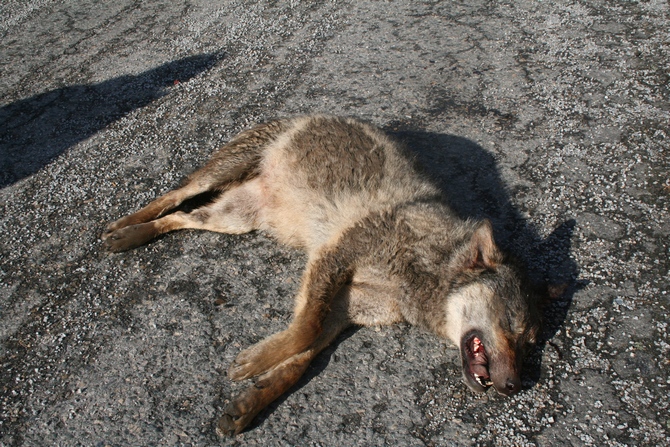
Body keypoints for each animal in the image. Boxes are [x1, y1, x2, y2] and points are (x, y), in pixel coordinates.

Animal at [103, 115, 540, 438]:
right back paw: (125, 227)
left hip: (232, 219)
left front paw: (254, 398)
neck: (419, 275)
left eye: (529, 342)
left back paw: (136, 234)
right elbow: (304, 331)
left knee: (181, 217)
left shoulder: (344, 311)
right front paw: (256, 361)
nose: (514, 387)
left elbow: (303, 357)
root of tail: (299, 114)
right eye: (510, 325)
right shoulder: (332, 259)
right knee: (172, 196)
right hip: (218, 178)